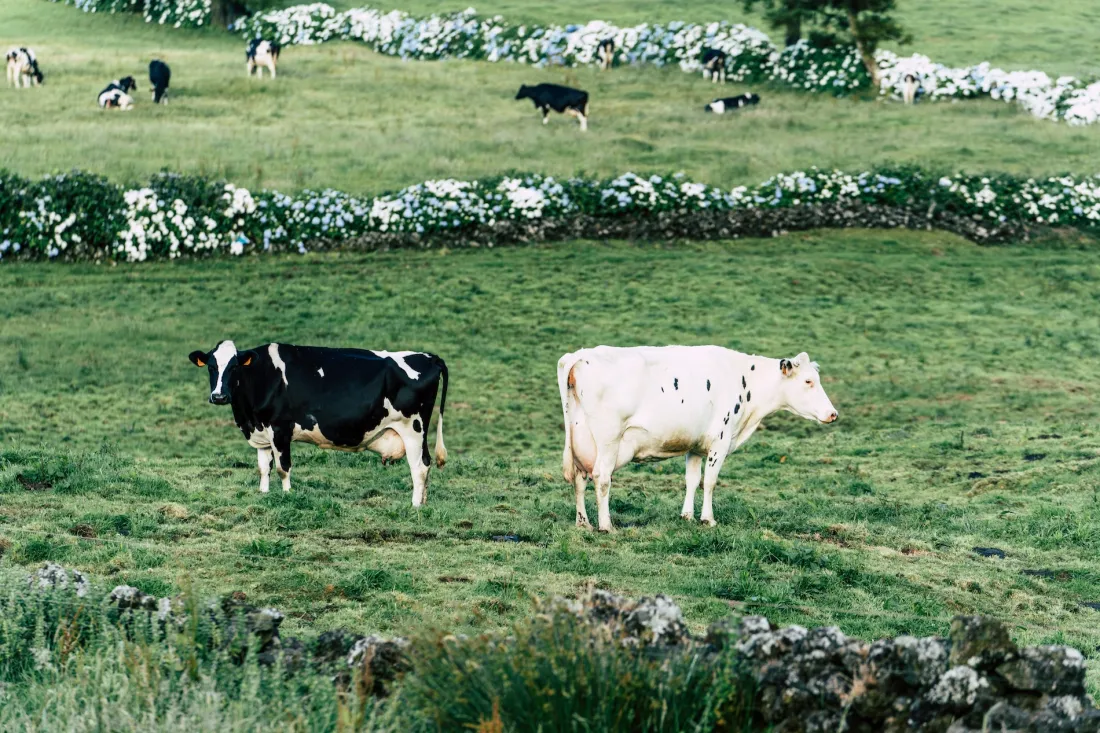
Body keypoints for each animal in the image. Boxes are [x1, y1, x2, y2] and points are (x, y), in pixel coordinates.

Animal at [189, 341, 446, 501]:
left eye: (234, 367)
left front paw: (287, 496)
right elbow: (263, 468)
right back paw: (423, 502)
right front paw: (264, 495)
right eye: (211, 367)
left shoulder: (280, 428)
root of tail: (429, 357)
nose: (219, 396)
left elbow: (283, 468)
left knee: (419, 467)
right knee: (425, 466)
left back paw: (414, 506)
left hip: (413, 429)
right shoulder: (262, 432)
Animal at [554, 345, 836, 528]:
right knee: (602, 478)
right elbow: (709, 482)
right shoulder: (720, 441)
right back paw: (606, 525)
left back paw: (584, 523)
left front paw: (687, 516)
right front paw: (707, 519)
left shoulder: (696, 446)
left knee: (579, 479)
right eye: (808, 381)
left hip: (580, 438)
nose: (833, 413)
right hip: (608, 440)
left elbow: (691, 480)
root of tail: (579, 355)